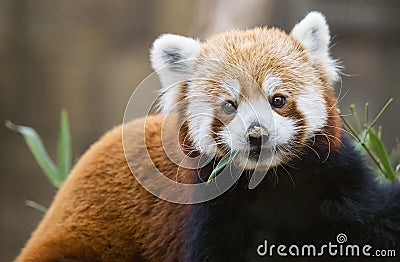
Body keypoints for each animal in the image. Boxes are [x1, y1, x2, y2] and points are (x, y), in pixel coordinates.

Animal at [16, 11, 400, 260]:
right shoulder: (203, 211)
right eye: (229, 106)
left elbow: (377, 219)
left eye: (277, 100)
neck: (272, 183)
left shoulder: (333, 180)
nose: (256, 135)